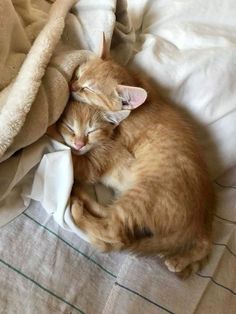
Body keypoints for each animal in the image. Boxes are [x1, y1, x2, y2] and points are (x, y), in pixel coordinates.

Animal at [58, 39, 215, 278]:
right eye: (79, 74)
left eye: (89, 89)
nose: (72, 86)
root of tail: (196, 219)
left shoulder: (110, 143)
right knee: (205, 242)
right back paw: (181, 260)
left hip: (140, 197)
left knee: (114, 232)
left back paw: (78, 207)